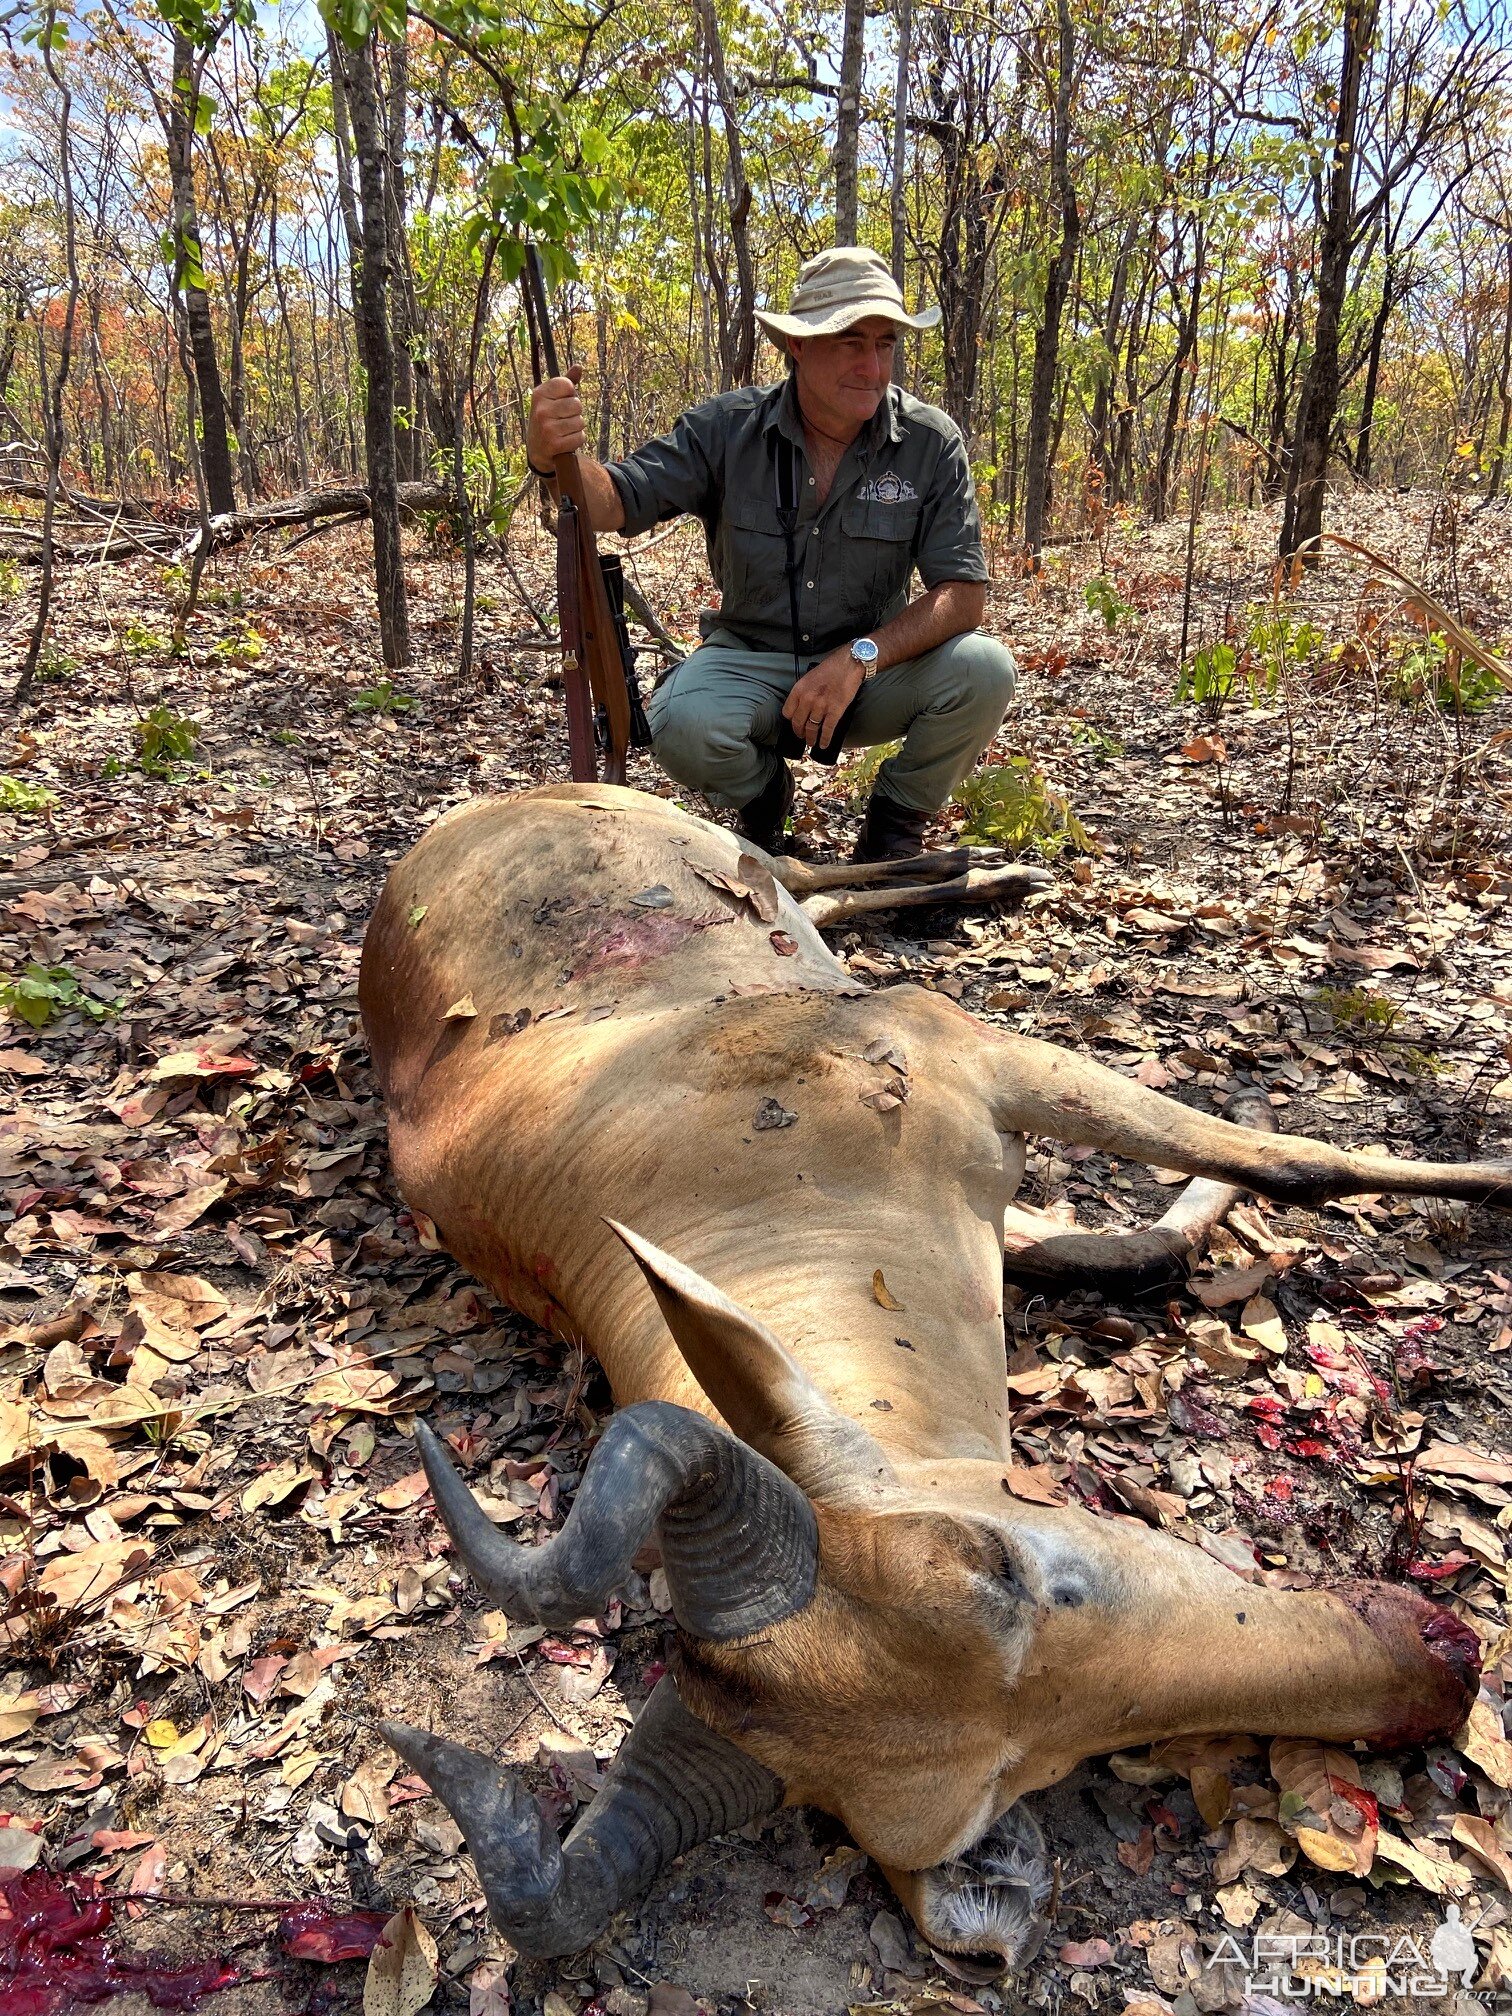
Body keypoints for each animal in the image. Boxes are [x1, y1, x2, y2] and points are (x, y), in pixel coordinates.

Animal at [364, 786, 1507, 1967]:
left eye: (1005, 1568)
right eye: (1008, 1786)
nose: (1445, 1667)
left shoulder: (967, 1051)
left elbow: (1284, 1158)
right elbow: (1178, 1224)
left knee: (800, 872)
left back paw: (982, 867)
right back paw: (983, 869)